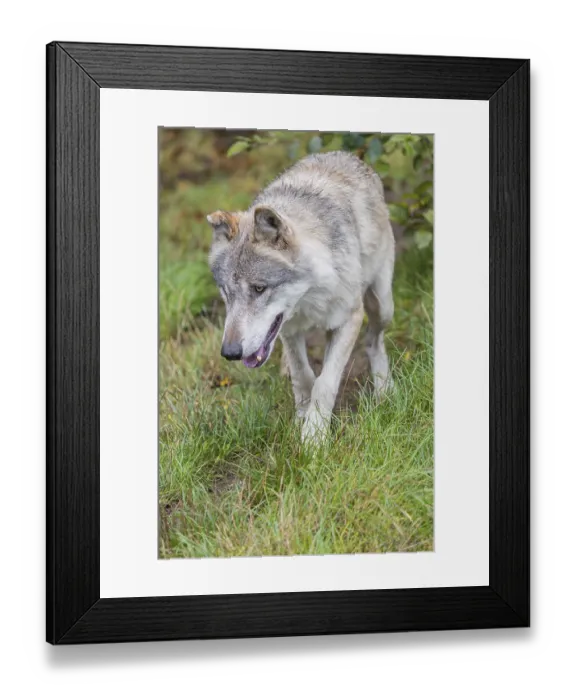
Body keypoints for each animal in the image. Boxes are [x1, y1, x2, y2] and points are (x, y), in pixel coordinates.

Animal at [207, 151, 395, 443]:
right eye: (226, 292)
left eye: (259, 288)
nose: (230, 352)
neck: (309, 297)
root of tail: (345, 154)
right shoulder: (288, 329)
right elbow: (303, 376)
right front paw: (302, 418)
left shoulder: (349, 318)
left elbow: (325, 383)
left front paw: (314, 437)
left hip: (382, 304)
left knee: (373, 340)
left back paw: (385, 388)